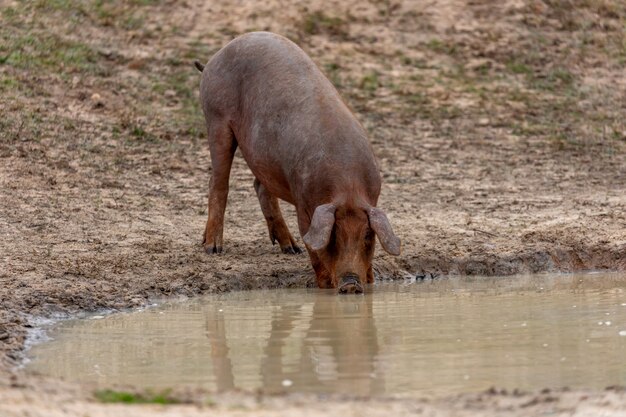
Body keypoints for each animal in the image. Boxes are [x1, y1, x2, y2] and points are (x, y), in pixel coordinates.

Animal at [195, 31, 400, 292]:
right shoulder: (304, 204)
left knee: (260, 185)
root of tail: (216, 56)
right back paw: (213, 249)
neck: (348, 186)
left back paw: (291, 249)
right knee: (218, 182)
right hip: (216, 118)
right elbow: (314, 250)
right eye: (333, 235)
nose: (351, 284)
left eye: (367, 235)